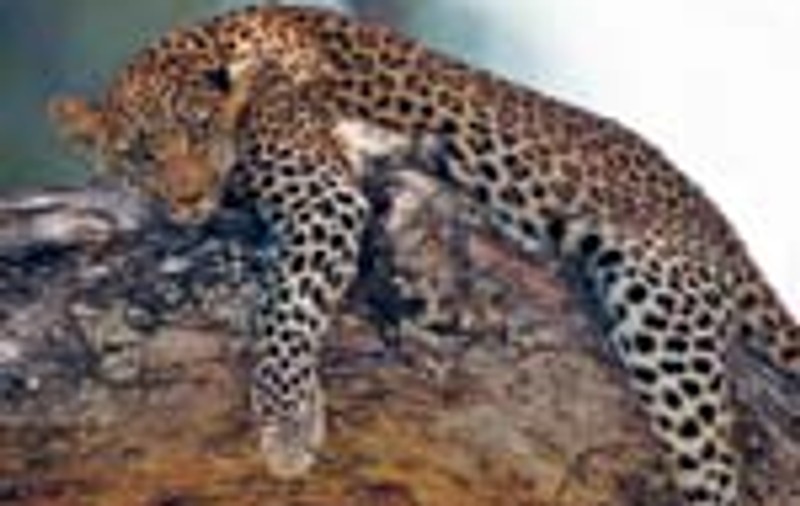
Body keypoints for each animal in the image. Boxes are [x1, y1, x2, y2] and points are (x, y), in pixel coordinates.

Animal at [49, 5, 799, 505]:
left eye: (200, 130)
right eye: (142, 153)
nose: (188, 196)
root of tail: (716, 221)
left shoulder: (326, 195)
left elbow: (288, 308)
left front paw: (288, 428)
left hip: (660, 302)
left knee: (713, 465)